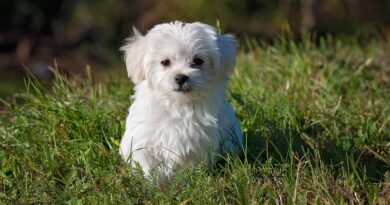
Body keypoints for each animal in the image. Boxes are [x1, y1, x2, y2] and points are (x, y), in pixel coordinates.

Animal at [119, 21, 242, 184]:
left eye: (198, 61)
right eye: (165, 62)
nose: (180, 77)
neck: (178, 105)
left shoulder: (197, 144)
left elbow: (188, 168)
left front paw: (184, 183)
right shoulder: (144, 141)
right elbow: (149, 166)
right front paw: (154, 185)